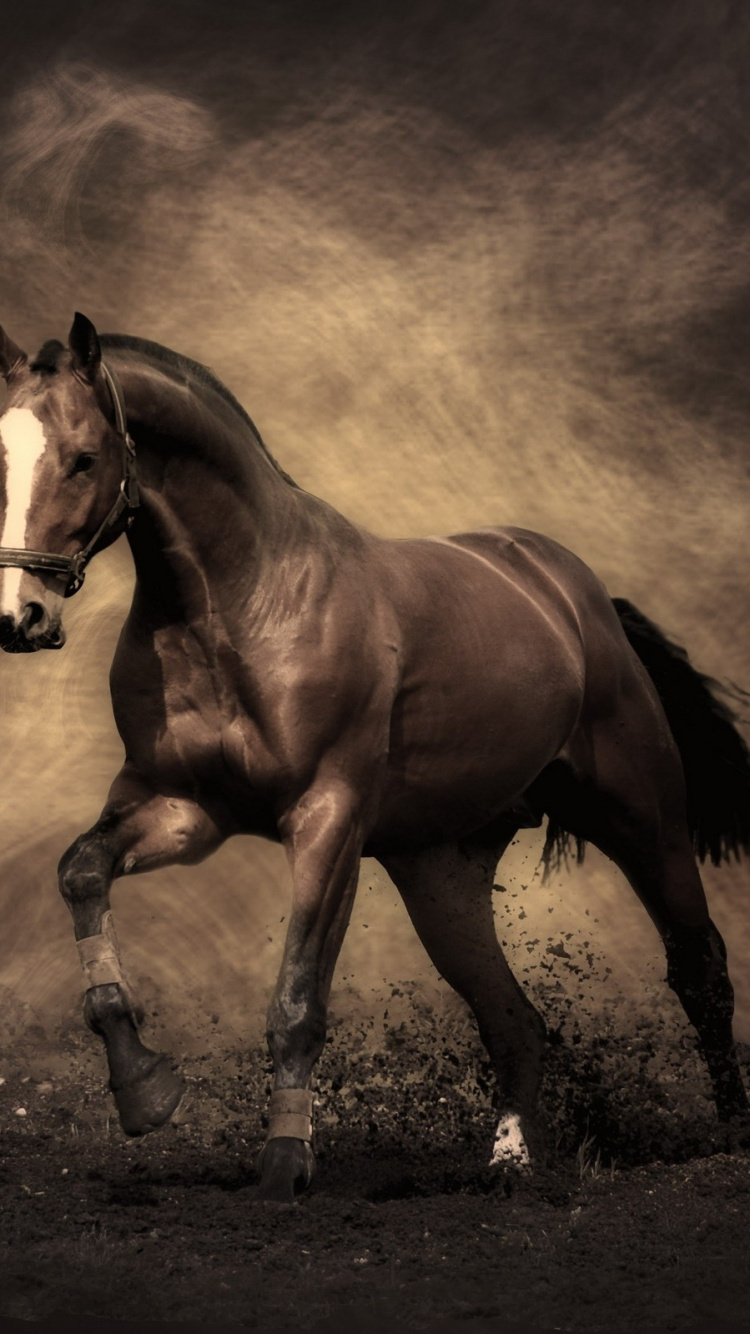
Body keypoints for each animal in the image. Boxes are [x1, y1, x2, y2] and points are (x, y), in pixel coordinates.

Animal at [0, 313, 748, 1203]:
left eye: (83, 458)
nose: (19, 616)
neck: (241, 604)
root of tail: (575, 596)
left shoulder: (328, 820)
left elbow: (296, 1002)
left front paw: (285, 1165)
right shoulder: (181, 809)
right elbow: (81, 873)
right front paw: (146, 1091)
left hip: (642, 819)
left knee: (700, 969)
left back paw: (729, 1135)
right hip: (442, 874)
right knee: (514, 1019)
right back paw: (508, 1163)